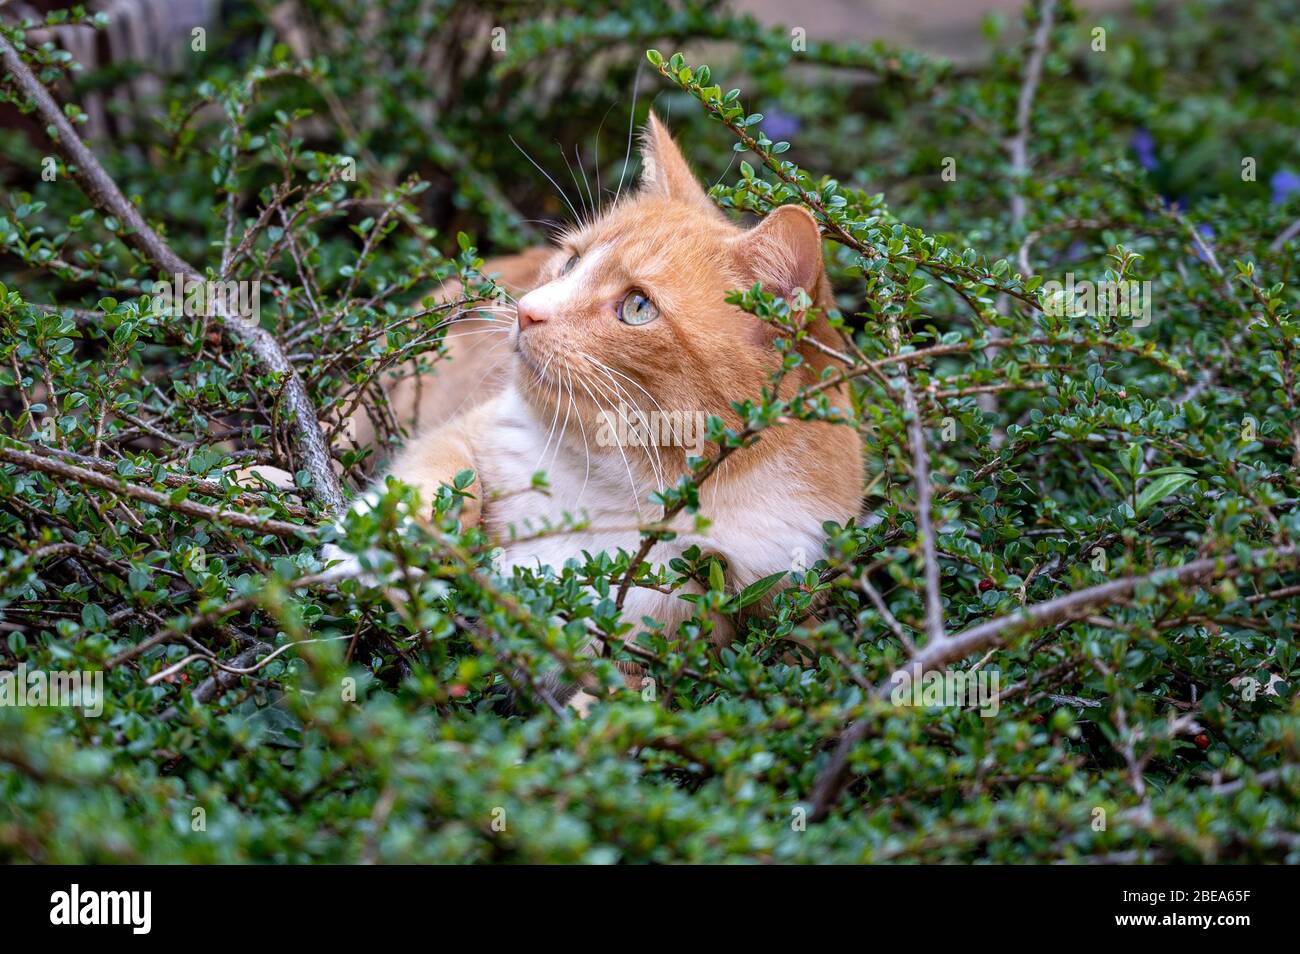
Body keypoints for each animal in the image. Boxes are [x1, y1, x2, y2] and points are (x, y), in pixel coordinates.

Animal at [343, 113, 863, 701]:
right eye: (571, 261)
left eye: (637, 306)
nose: (526, 311)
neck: (614, 489)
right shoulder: (476, 428)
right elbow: (433, 472)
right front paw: (368, 541)